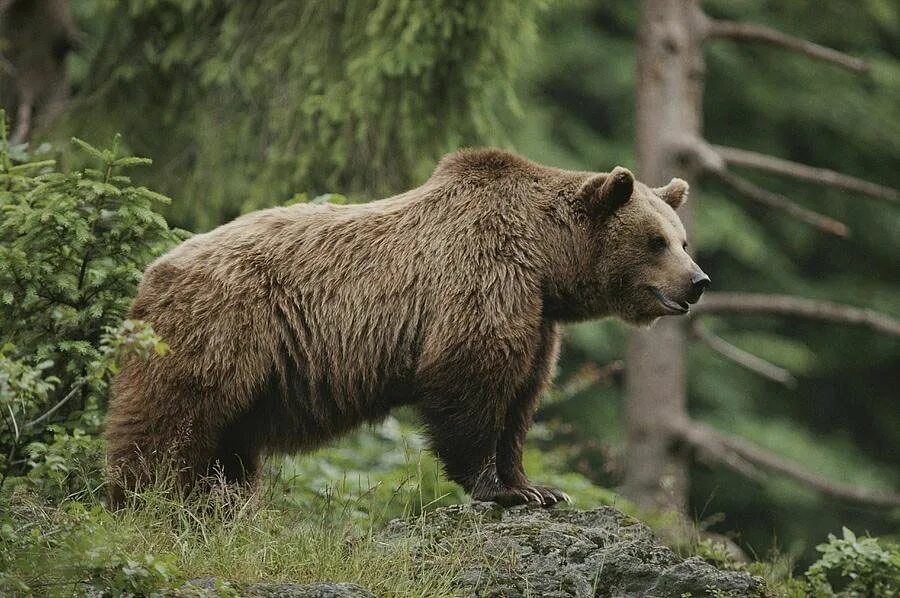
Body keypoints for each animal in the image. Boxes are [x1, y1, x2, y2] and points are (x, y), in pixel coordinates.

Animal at [105, 149, 708, 506]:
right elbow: (470, 382)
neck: (546, 262)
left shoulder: (538, 319)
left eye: (682, 239)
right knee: (172, 418)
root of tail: (150, 272)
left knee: (227, 447)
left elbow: (520, 400)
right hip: (221, 328)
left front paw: (537, 487)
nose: (697, 281)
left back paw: (219, 504)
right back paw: (143, 498)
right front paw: (501, 491)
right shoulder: (484, 279)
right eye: (655, 240)